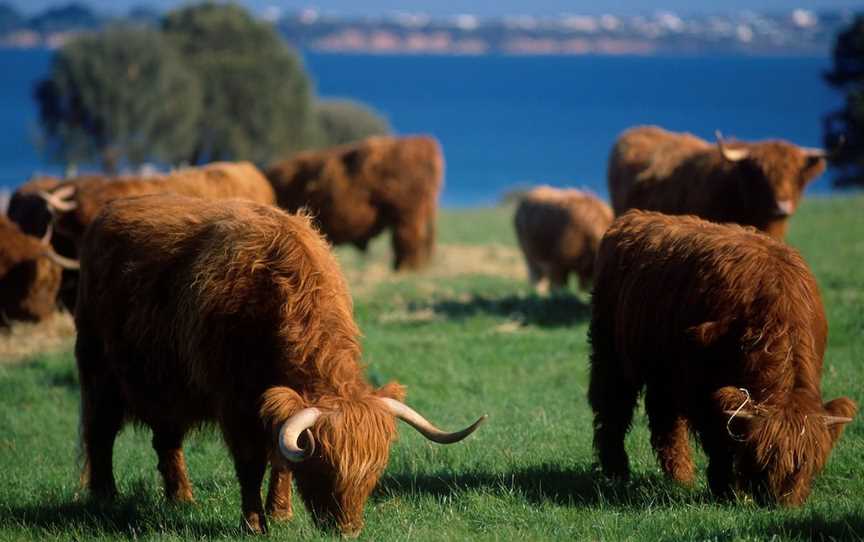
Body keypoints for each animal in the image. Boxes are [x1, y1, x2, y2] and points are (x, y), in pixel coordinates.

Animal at [74, 194, 486, 536]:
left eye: (375, 472)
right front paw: (254, 524)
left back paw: (181, 499)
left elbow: (282, 459)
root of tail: (110, 210)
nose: (348, 530)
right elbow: (251, 463)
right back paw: (105, 497)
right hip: (99, 371)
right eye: (323, 468)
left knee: (166, 440)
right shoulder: (235, 404)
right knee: (100, 431)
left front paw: (281, 513)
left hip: (167, 387)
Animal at [588, 211, 856, 506]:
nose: (779, 502)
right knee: (612, 407)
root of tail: (634, 217)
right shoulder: (701, 386)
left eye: (806, 463)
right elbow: (719, 439)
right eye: (764, 459)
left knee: (664, 418)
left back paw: (680, 477)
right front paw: (727, 488)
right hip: (610, 353)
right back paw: (616, 471)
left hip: (663, 370)